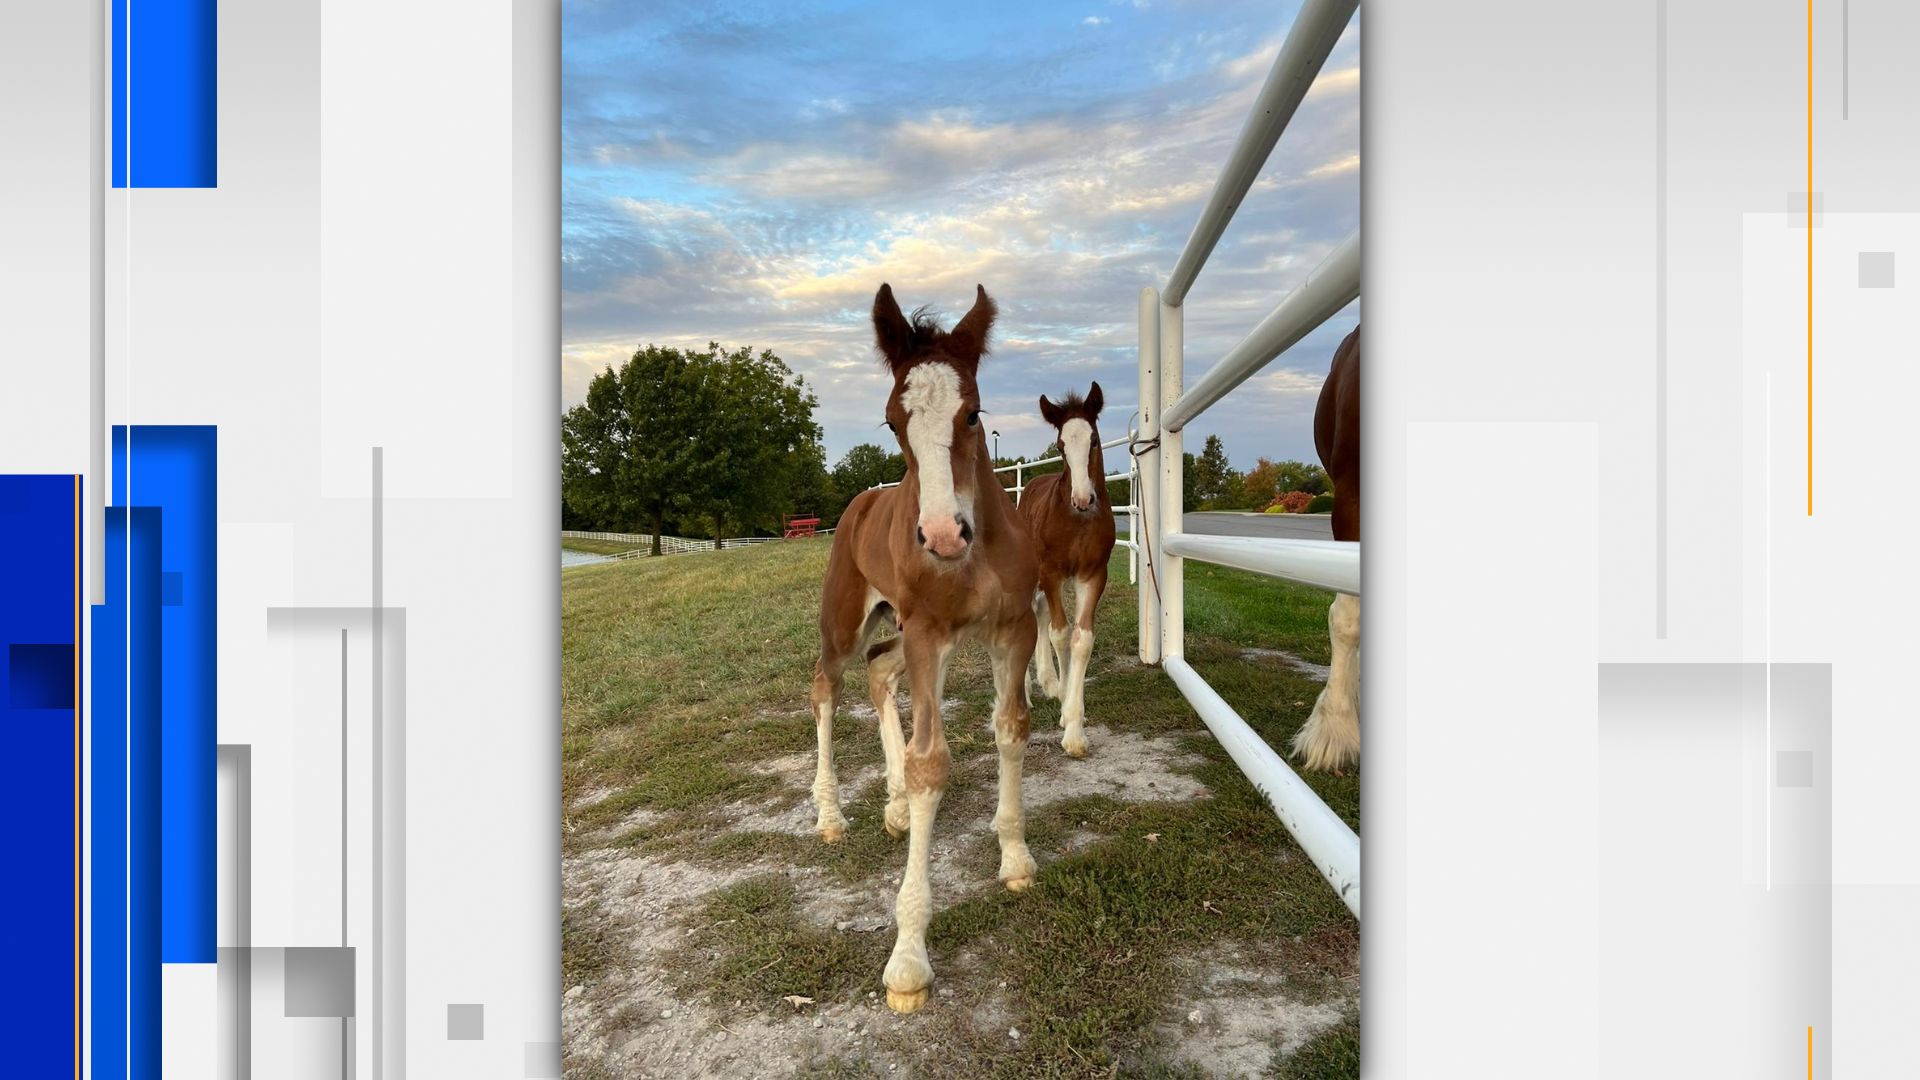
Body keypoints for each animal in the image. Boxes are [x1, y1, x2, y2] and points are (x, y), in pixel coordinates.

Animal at [814, 278, 1044, 1006]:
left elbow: (1011, 727)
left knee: (877, 671)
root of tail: (863, 501)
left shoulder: (1013, 630)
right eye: (893, 421)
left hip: (897, 630)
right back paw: (830, 814)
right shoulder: (928, 633)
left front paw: (1015, 855)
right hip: (848, 618)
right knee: (828, 683)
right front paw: (909, 956)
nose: (942, 536)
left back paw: (890, 807)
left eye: (973, 414)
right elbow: (930, 763)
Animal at [1013, 382, 1121, 753]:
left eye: (1095, 440)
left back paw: (1048, 681)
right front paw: (1063, 704)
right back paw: (1028, 689)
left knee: (1041, 612)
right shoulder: (1052, 572)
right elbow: (1059, 634)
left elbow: (1081, 638)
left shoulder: (1093, 574)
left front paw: (1075, 725)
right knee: (1032, 615)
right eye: (1061, 446)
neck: (1078, 522)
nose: (1083, 499)